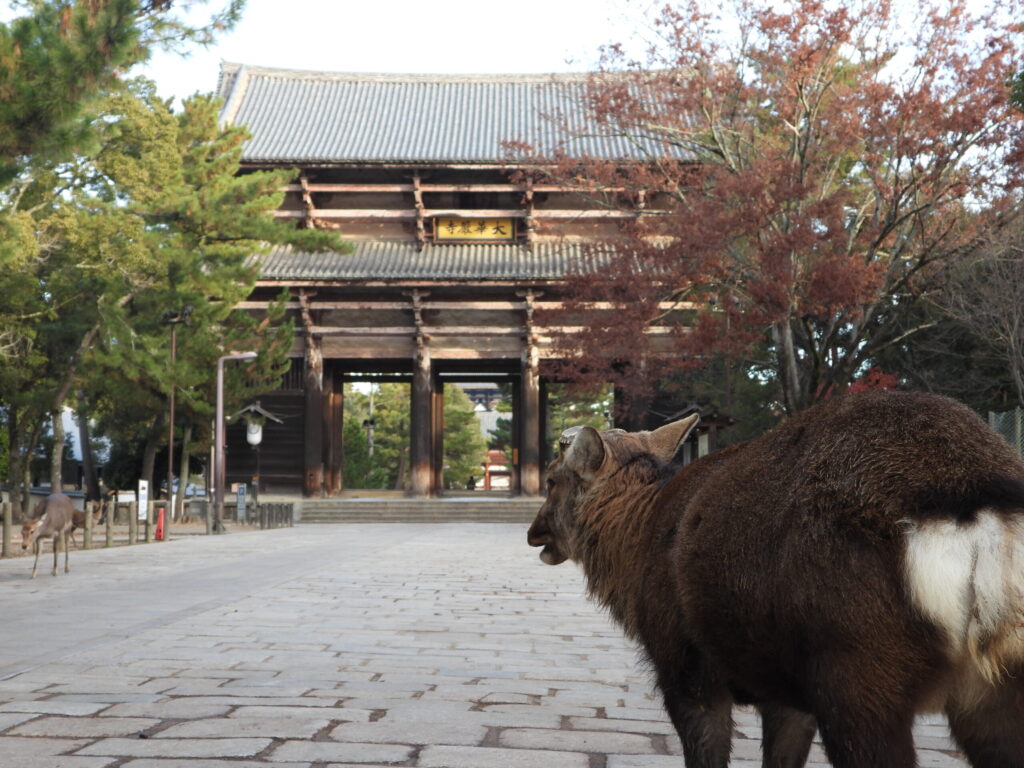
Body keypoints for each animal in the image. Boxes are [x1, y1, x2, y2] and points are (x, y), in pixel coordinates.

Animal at [528, 390, 1024, 768]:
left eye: (551, 480)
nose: (535, 533)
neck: (637, 538)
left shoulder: (686, 667)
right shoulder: (787, 691)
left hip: (857, 667)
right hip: (992, 690)